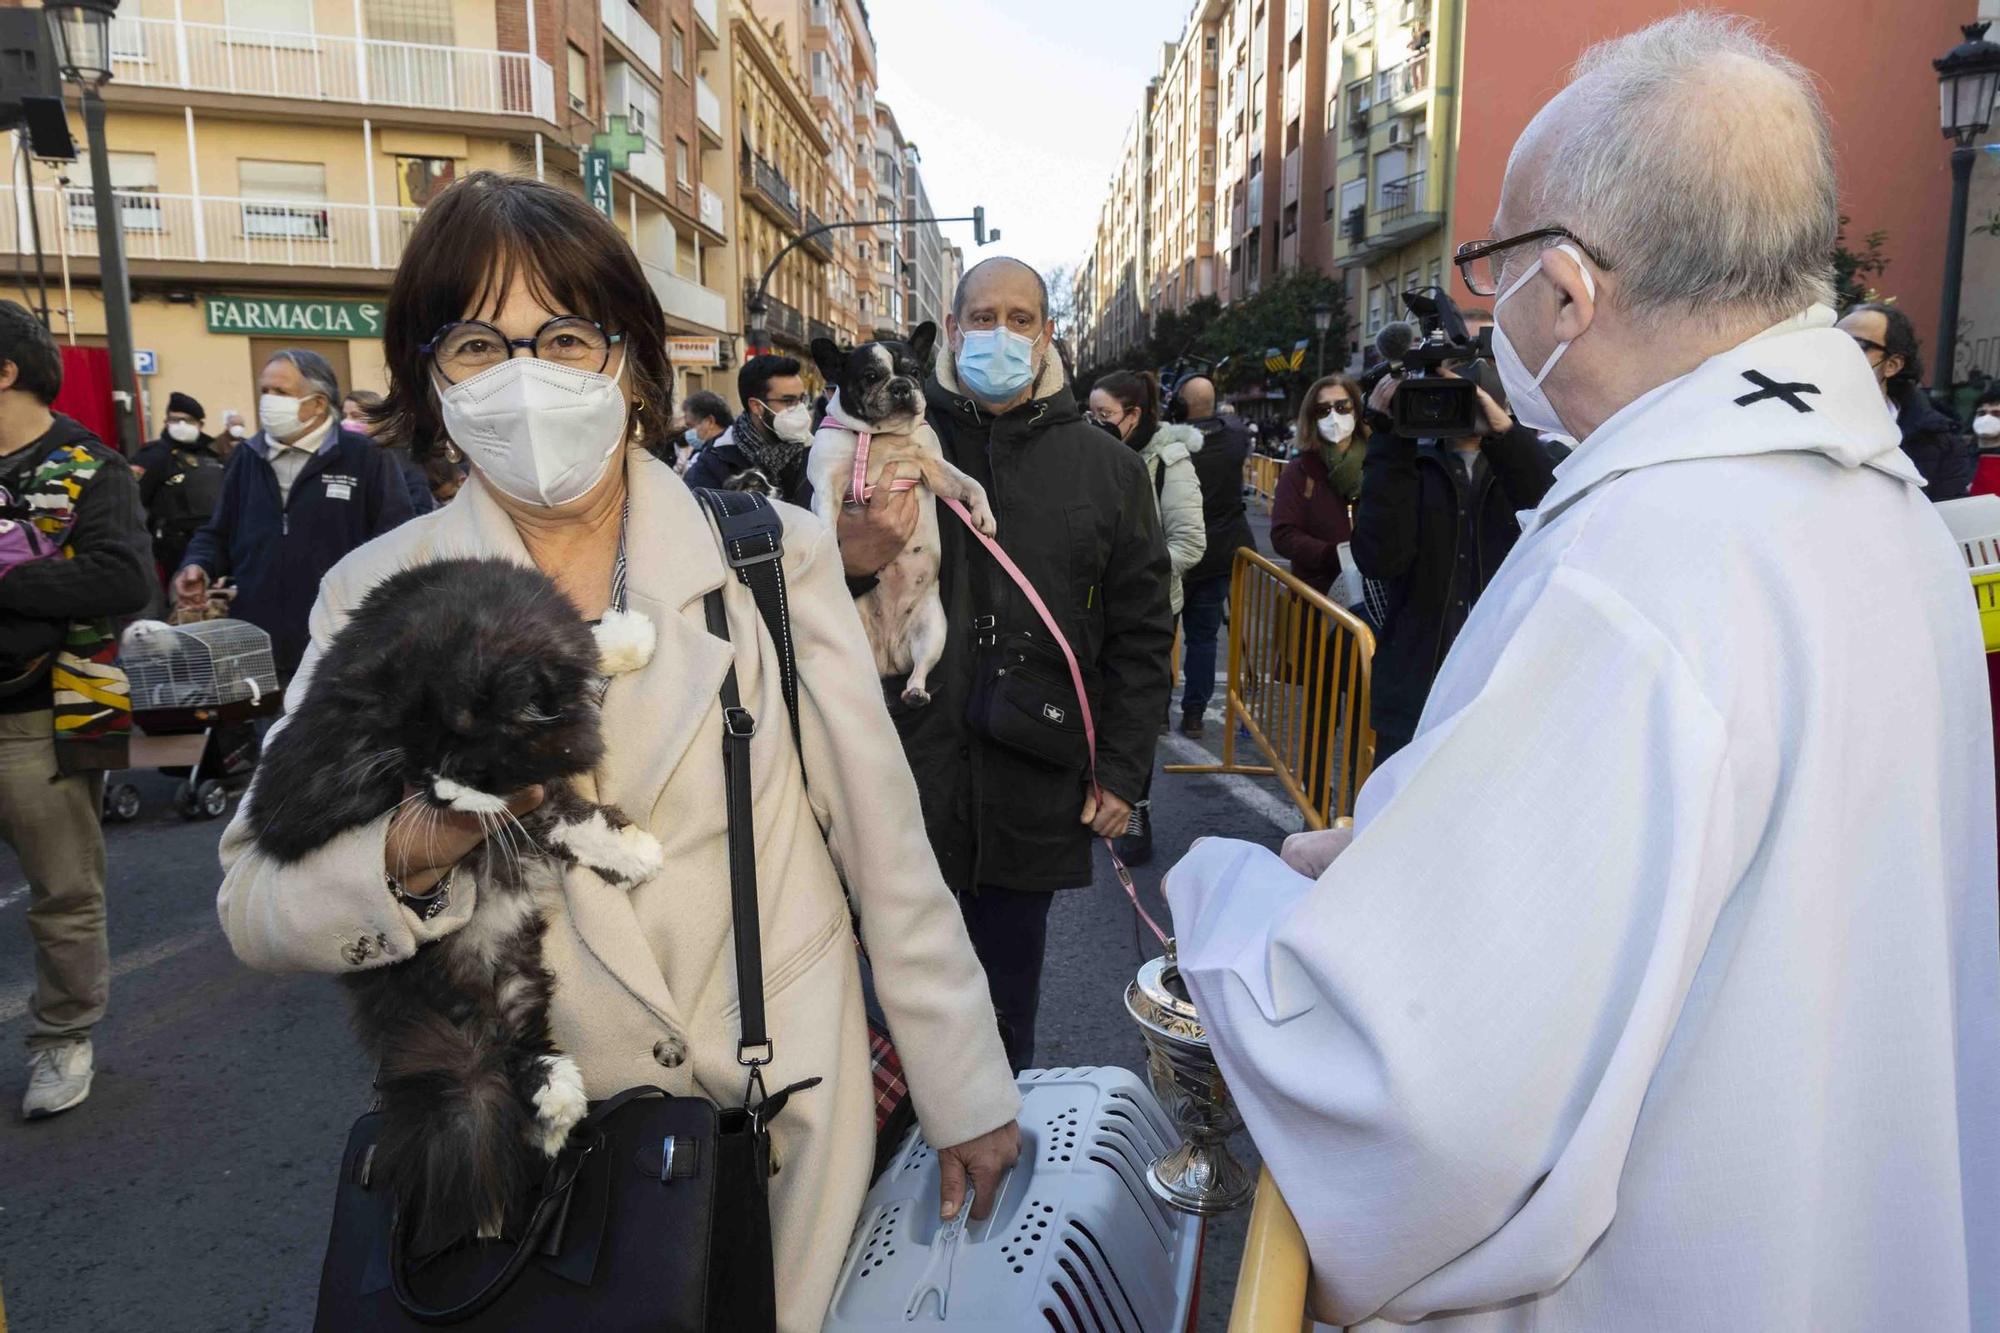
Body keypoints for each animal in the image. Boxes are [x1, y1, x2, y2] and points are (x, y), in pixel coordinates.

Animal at [247, 556, 660, 1248]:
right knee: (493, 1052)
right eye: (417, 768)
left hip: (522, 978)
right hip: (449, 1002)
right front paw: (636, 853)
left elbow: (582, 650)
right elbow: (556, 811)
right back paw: (556, 1108)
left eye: (463, 763)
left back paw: (557, 1111)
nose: (438, 796)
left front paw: (627, 640)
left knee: (519, 1040)